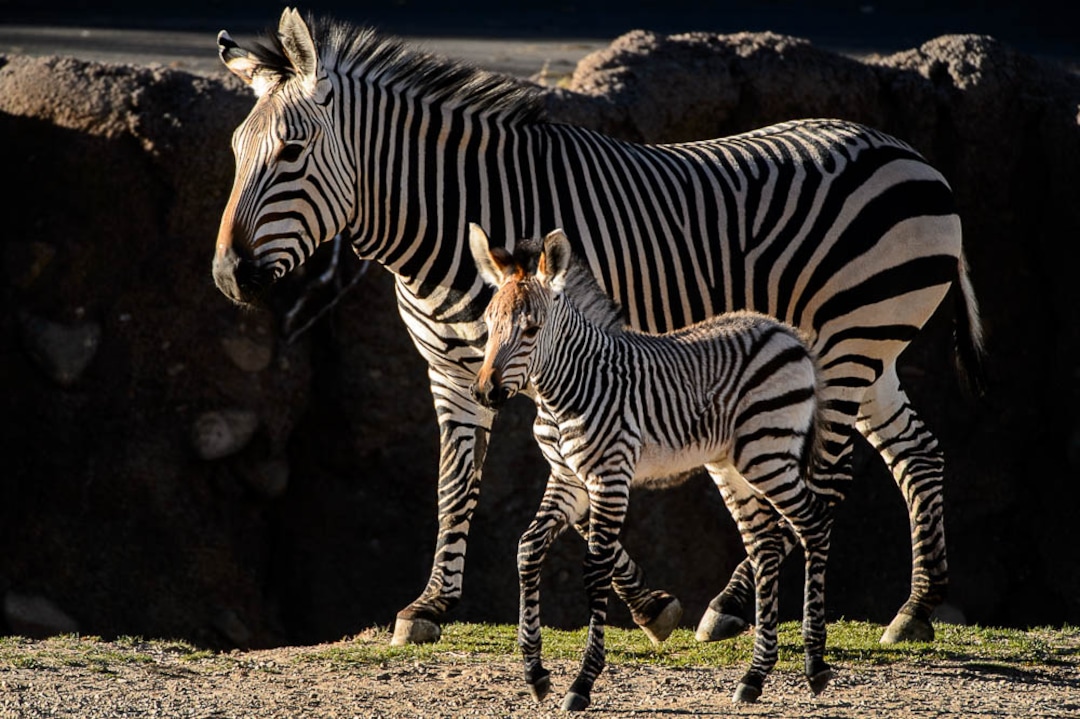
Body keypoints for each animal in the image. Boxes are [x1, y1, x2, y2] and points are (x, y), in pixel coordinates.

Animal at [212, 9, 986, 647]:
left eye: (290, 153)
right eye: (234, 150)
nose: (227, 276)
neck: (450, 228)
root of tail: (912, 156)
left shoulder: (576, 364)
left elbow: (584, 500)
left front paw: (651, 606)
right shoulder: (455, 372)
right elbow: (454, 484)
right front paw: (429, 606)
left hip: (849, 341)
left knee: (822, 478)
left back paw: (734, 603)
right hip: (864, 348)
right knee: (917, 450)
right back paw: (915, 610)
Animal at [469, 224, 833, 708]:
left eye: (531, 329)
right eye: (489, 326)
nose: (484, 393)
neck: (562, 393)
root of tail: (786, 331)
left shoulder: (609, 477)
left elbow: (596, 569)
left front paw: (582, 682)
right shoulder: (567, 480)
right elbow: (528, 549)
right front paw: (534, 672)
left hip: (768, 452)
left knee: (814, 524)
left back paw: (814, 664)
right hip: (733, 465)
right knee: (766, 545)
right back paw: (755, 676)